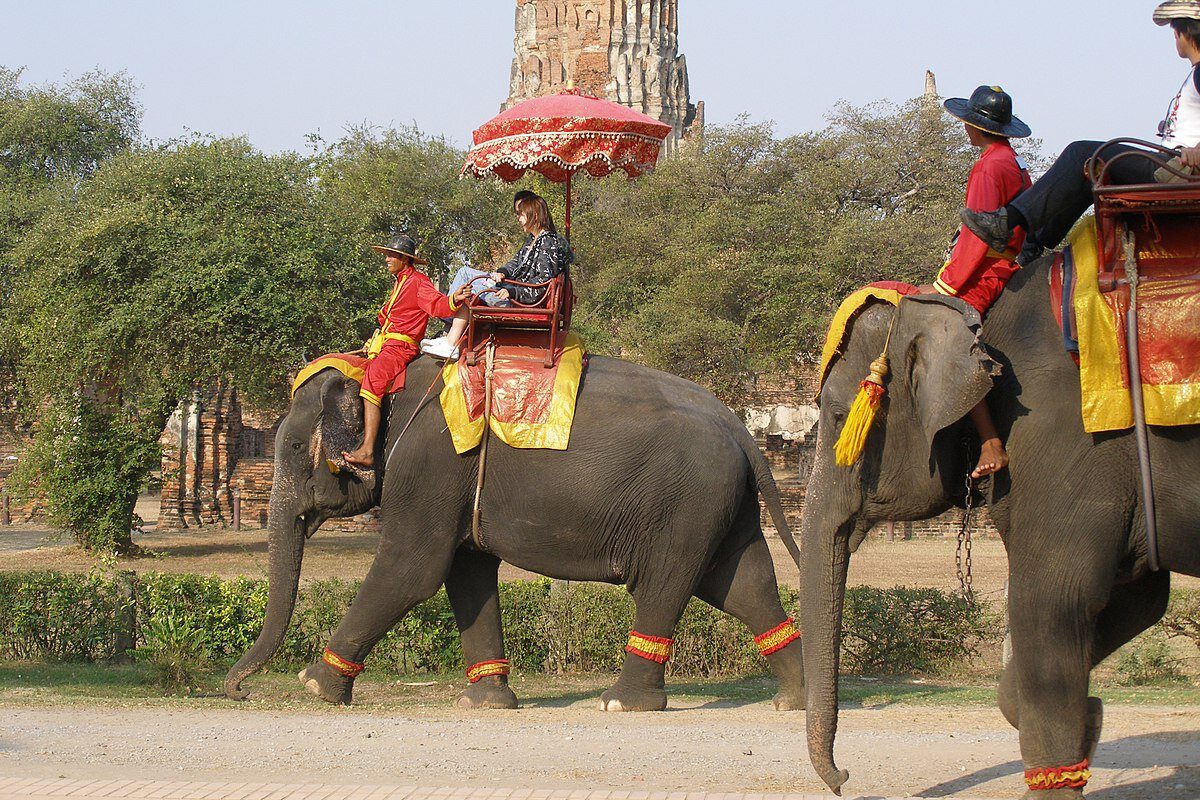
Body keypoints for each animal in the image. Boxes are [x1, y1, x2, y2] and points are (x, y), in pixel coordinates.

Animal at [224, 354, 807, 714]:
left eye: (293, 447)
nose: (237, 691)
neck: (386, 378)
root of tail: (739, 427)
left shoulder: (430, 466)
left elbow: (412, 570)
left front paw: (316, 687)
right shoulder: (455, 482)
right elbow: (465, 572)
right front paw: (484, 703)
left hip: (684, 503)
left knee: (665, 585)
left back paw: (621, 702)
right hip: (721, 505)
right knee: (741, 585)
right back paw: (793, 700)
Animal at [799, 258, 1200, 798]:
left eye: (841, 418)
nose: (844, 778)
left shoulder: (1064, 442)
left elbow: (1054, 600)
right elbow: (1136, 600)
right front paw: (1092, 720)